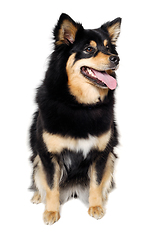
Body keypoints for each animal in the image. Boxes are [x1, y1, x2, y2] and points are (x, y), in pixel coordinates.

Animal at [29, 13, 121, 225]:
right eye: (89, 49)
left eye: (109, 48)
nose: (116, 58)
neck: (80, 105)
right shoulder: (48, 154)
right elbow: (51, 185)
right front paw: (51, 211)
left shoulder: (101, 153)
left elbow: (96, 182)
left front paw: (95, 207)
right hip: (36, 157)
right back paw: (37, 196)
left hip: (112, 157)